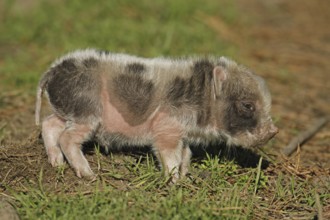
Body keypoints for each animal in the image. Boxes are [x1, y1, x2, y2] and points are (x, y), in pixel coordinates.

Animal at [35, 49, 278, 182]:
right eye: (247, 105)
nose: (274, 131)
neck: (202, 97)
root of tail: (52, 70)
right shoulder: (166, 129)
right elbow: (169, 156)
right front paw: (174, 182)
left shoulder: (182, 134)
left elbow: (186, 154)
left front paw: (185, 176)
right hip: (86, 112)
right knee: (67, 137)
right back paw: (89, 175)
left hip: (68, 112)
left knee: (48, 124)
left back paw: (57, 164)